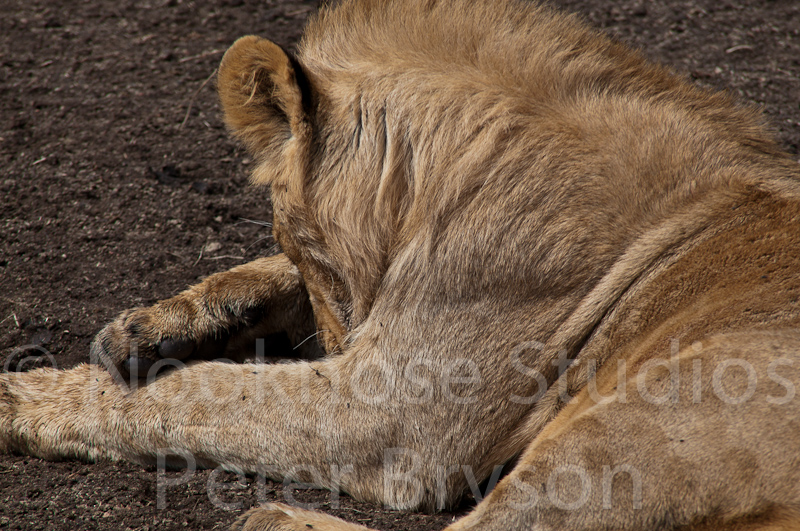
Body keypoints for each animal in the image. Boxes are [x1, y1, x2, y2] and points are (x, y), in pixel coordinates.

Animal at [3, 0, 800, 529]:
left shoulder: (388, 410)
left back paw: (270, 517)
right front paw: (153, 326)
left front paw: (23, 398)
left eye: (302, 237)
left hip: (629, 433)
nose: (334, 345)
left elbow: (198, 395)